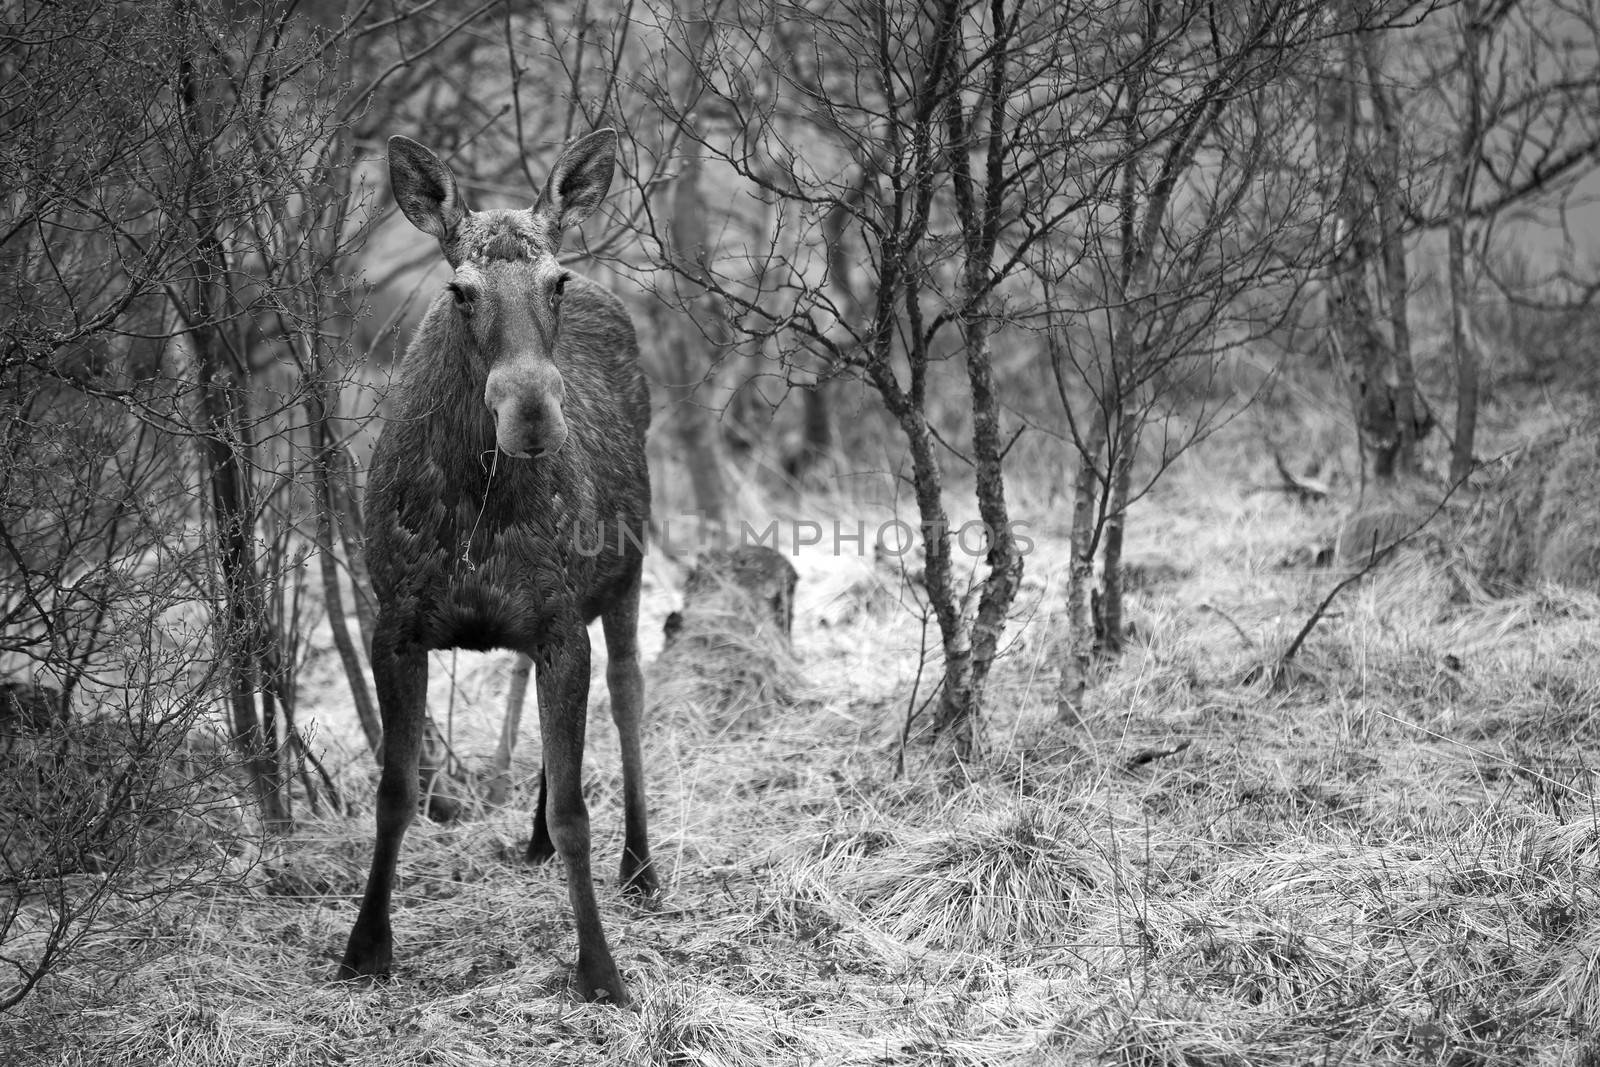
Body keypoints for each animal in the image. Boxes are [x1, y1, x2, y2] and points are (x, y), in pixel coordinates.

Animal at [340, 129, 659, 1004]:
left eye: (556, 280)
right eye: (460, 289)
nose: (532, 412)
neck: (477, 508)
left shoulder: (560, 624)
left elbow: (579, 809)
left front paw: (599, 968)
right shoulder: (397, 623)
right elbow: (395, 791)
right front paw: (365, 946)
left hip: (627, 572)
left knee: (628, 697)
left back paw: (641, 865)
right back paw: (536, 842)